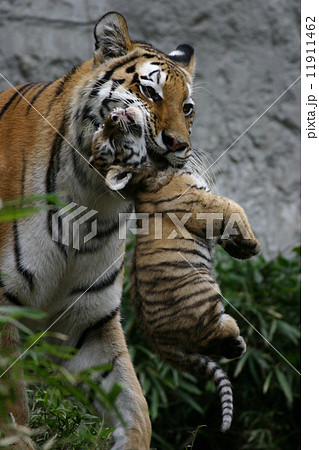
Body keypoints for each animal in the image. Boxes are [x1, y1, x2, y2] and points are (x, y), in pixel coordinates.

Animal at [0, 10, 195, 450]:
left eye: (188, 107)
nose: (178, 144)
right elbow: (13, 408)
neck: (94, 199)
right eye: (150, 91)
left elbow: (135, 406)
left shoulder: (90, 321)